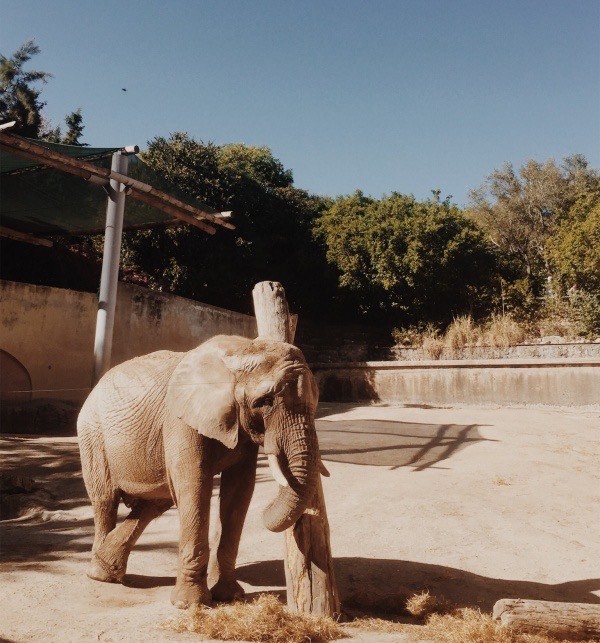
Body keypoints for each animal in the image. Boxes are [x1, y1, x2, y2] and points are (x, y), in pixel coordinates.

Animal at [79, 334, 326, 612]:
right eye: (264, 401)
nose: (309, 515)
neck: (240, 351)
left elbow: (239, 490)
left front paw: (230, 596)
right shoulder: (179, 421)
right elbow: (194, 484)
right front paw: (189, 604)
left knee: (155, 503)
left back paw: (107, 566)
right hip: (92, 435)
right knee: (105, 501)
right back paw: (99, 575)